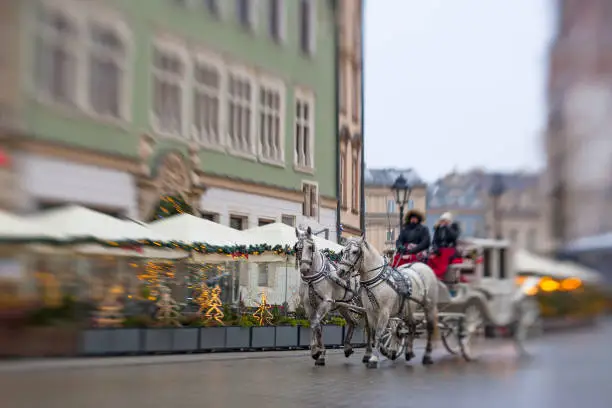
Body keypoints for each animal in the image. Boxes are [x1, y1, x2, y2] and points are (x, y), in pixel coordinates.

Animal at [296, 226, 372, 366]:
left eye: (310, 247)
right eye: (297, 248)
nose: (304, 269)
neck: (312, 279)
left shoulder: (326, 302)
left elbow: (315, 324)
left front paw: (316, 351)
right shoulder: (308, 305)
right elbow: (316, 325)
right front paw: (320, 353)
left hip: (366, 306)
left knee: (369, 326)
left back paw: (368, 353)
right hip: (344, 306)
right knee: (352, 322)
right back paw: (347, 347)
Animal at [340, 234, 440, 368]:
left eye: (355, 252)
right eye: (342, 251)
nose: (340, 271)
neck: (376, 280)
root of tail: (423, 266)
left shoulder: (384, 312)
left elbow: (378, 333)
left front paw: (373, 359)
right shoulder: (370, 312)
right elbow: (372, 333)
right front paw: (373, 355)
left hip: (429, 307)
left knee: (429, 328)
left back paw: (427, 356)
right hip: (407, 311)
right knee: (411, 326)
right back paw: (407, 352)